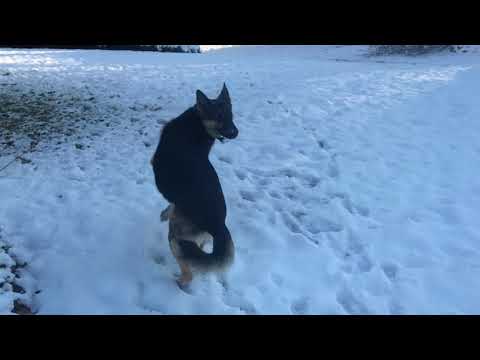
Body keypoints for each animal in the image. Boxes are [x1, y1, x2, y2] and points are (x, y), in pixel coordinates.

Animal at [152, 83, 238, 286]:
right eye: (220, 116)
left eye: (231, 115)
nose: (236, 132)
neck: (198, 125)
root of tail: (219, 227)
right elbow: (172, 203)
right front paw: (165, 213)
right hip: (197, 240)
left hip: (175, 238)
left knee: (188, 271)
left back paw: (177, 282)